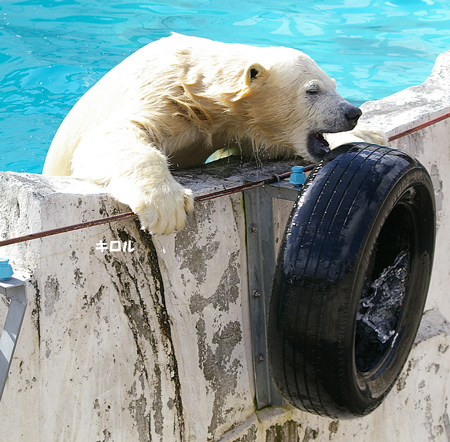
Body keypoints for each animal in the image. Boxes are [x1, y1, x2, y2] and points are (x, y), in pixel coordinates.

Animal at [43, 34, 386, 235]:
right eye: (312, 90)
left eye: (334, 84)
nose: (352, 112)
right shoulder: (161, 93)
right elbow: (108, 137)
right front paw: (166, 206)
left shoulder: (238, 128)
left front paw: (370, 135)